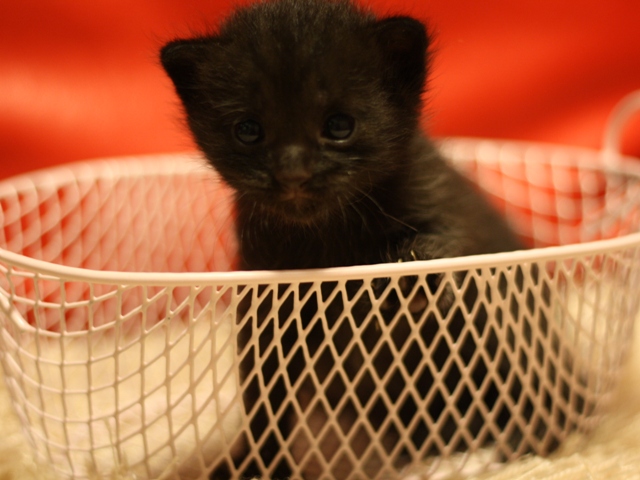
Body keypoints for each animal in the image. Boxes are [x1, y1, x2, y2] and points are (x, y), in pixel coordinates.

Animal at [162, 0, 524, 476]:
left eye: (338, 125)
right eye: (248, 130)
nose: (292, 172)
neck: (329, 235)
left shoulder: (439, 200)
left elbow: (442, 240)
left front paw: (410, 269)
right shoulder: (264, 320)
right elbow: (265, 414)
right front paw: (254, 466)